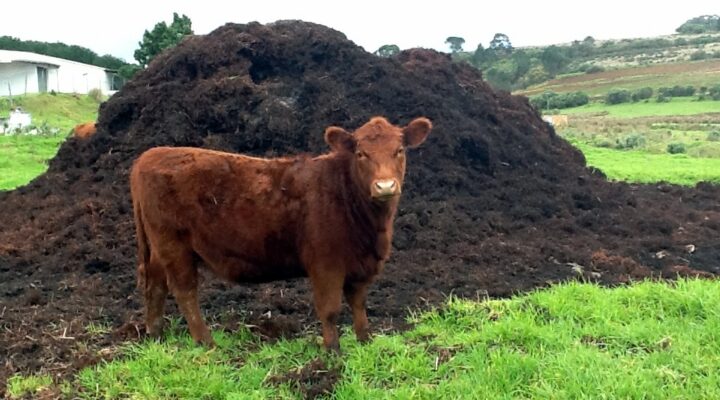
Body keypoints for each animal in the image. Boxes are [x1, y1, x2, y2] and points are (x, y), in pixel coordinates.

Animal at [130, 116, 432, 352]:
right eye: (361, 154)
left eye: (399, 150)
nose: (385, 186)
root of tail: (150, 155)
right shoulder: (326, 263)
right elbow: (330, 308)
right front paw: (332, 351)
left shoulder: (361, 265)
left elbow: (358, 303)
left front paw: (365, 341)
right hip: (174, 245)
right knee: (184, 290)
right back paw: (207, 342)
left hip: (159, 248)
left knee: (155, 284)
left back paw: (155, 335)